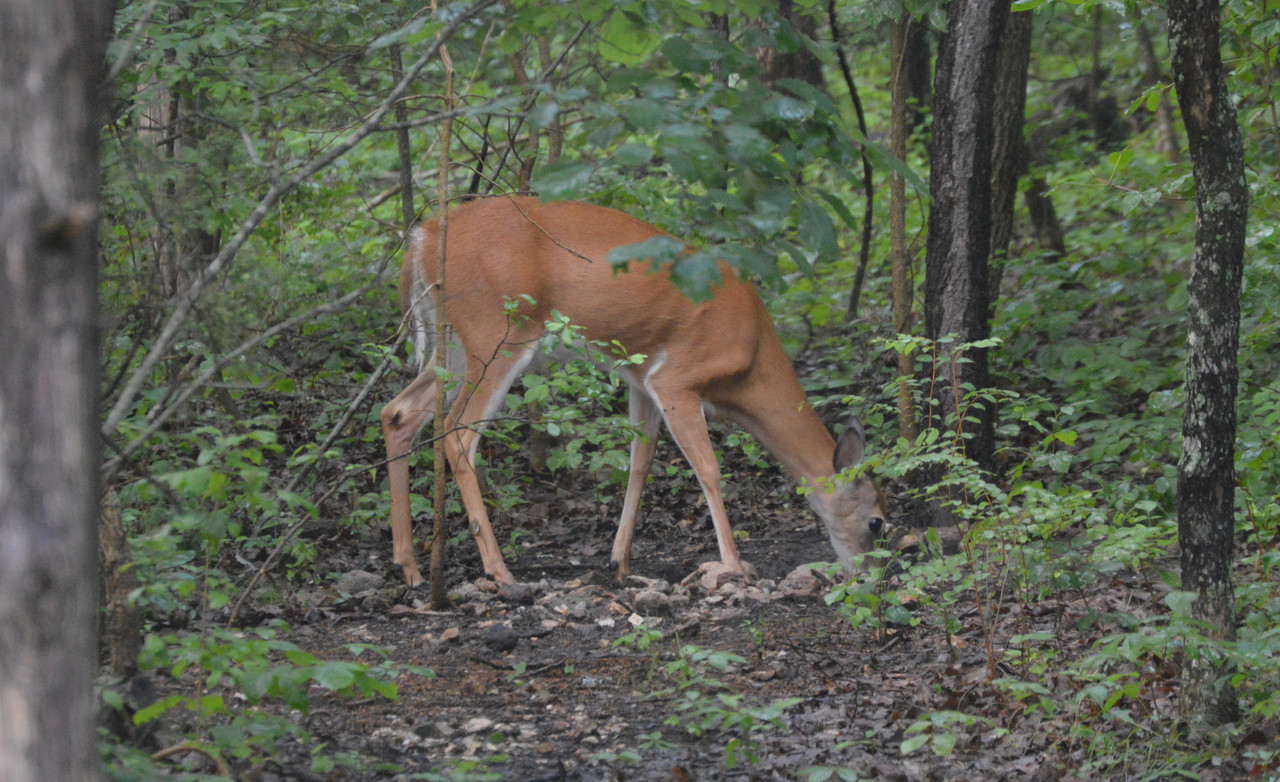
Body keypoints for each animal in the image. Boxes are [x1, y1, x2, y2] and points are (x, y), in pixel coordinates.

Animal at [380, 195, 887, 588]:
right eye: (877, 522)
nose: (869, 575)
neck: (750, 363)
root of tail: (423, 238)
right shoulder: (678, 376)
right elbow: (709, 470)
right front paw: (734, 564)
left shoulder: (641, 380)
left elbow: (639, 463)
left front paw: (618, 560)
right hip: (497, 332)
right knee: (458, 434)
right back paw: (499, 571)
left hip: (452, 345)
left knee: (398, 412)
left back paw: (411, 568)